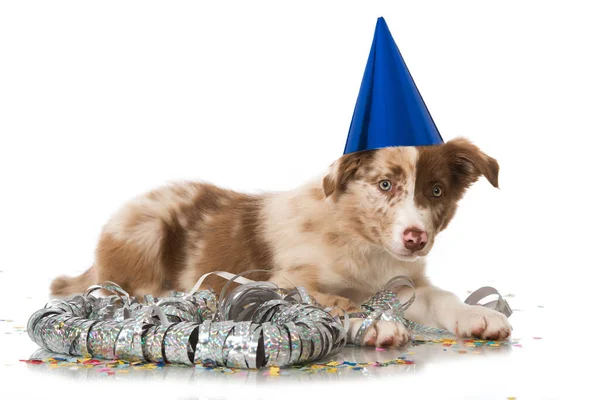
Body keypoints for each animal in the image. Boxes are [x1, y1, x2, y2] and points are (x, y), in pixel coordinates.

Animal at [50, 138, 510, 346]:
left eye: (435, 191)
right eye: (384, 184)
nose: (415, 239)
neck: (362, 240)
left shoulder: (402, 282)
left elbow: (440, 296)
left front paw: (476, 314)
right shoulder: (281, 281)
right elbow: (328, 300)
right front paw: (373, 322)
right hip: (144, 225)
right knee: (133, 287)